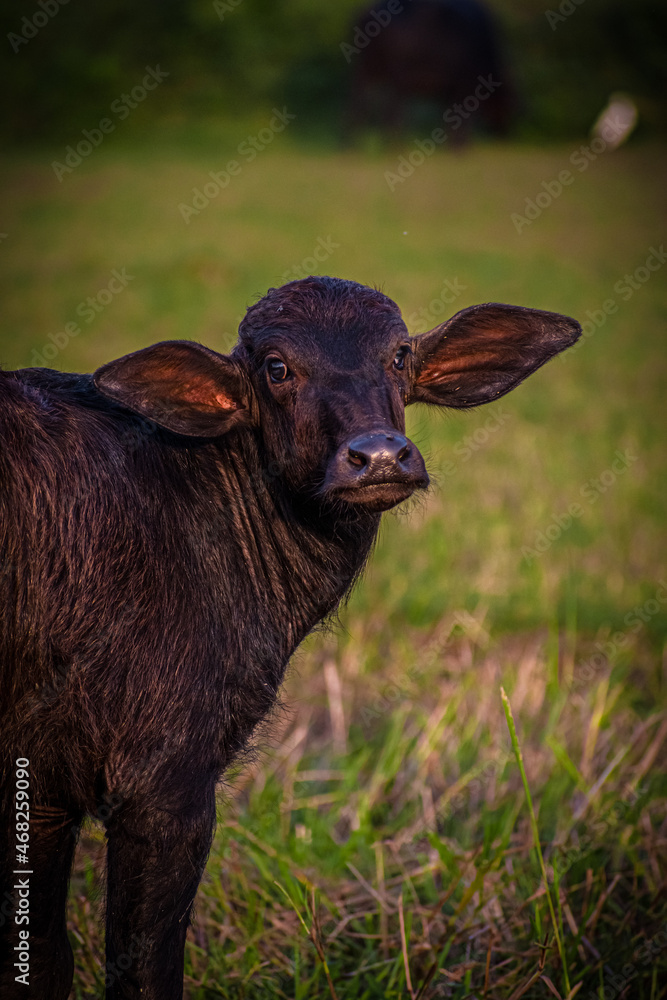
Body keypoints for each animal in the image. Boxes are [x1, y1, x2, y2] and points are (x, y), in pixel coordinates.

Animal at [0, 276, 580, 997]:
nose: (378, 456)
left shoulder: (46, 793)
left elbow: (45, 959)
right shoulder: (163, 783)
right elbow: (143, 968)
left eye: (398, 354)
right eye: (277, 368)